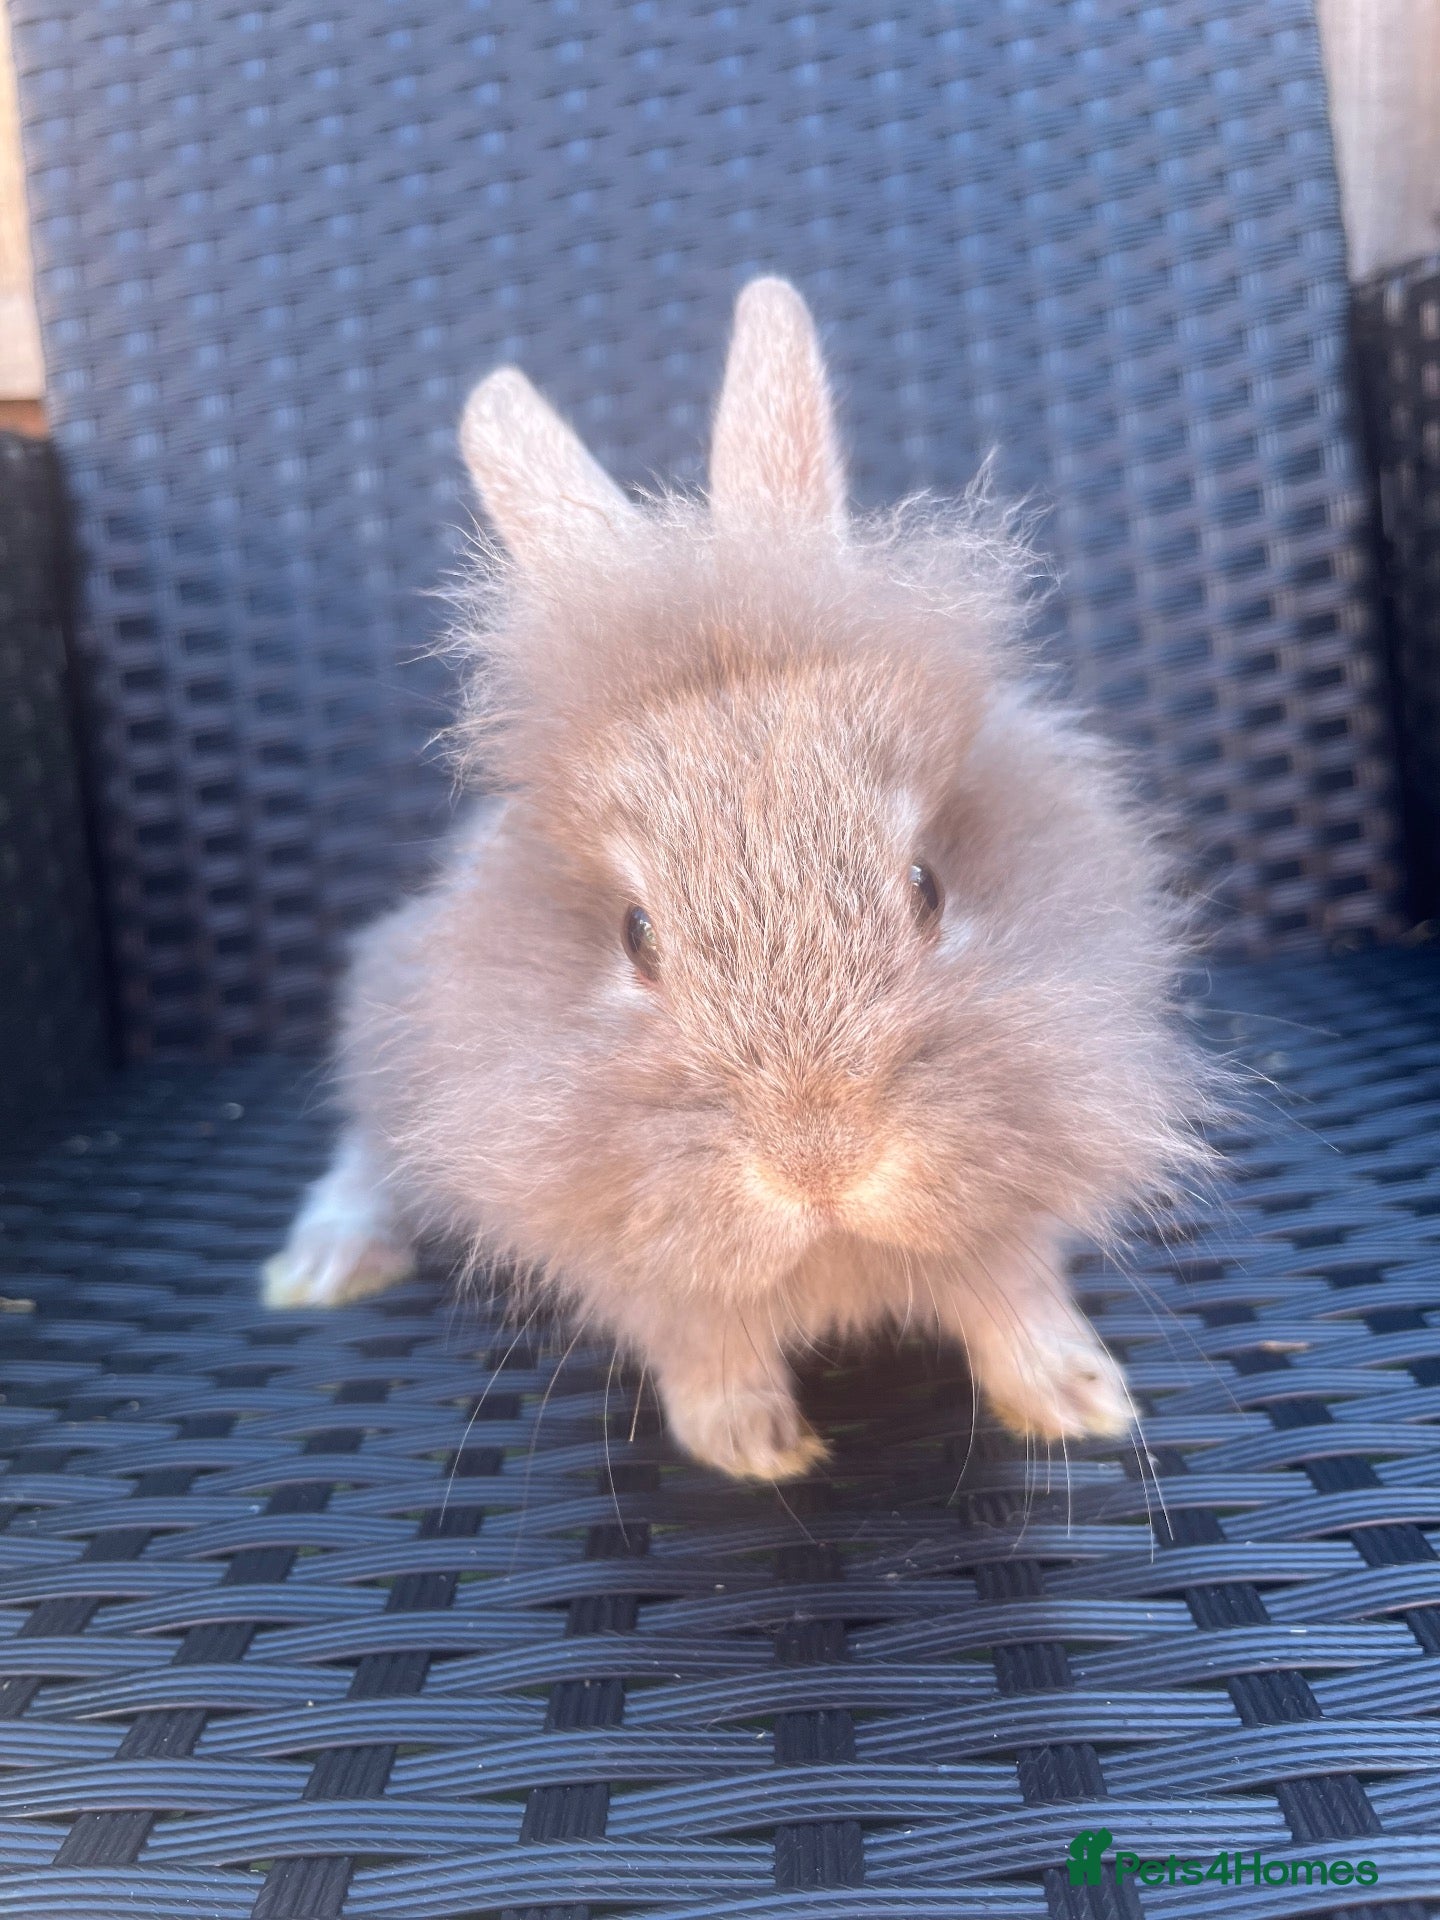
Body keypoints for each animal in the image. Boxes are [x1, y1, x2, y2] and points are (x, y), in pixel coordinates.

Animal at [263, 277, 1206, 1481]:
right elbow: (704, 1341)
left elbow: (1014, 1299)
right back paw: (326, 1262)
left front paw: (1078, 1399)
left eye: (928, 887)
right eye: (635, 933)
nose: (821, 1161)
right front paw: (752, 1447)